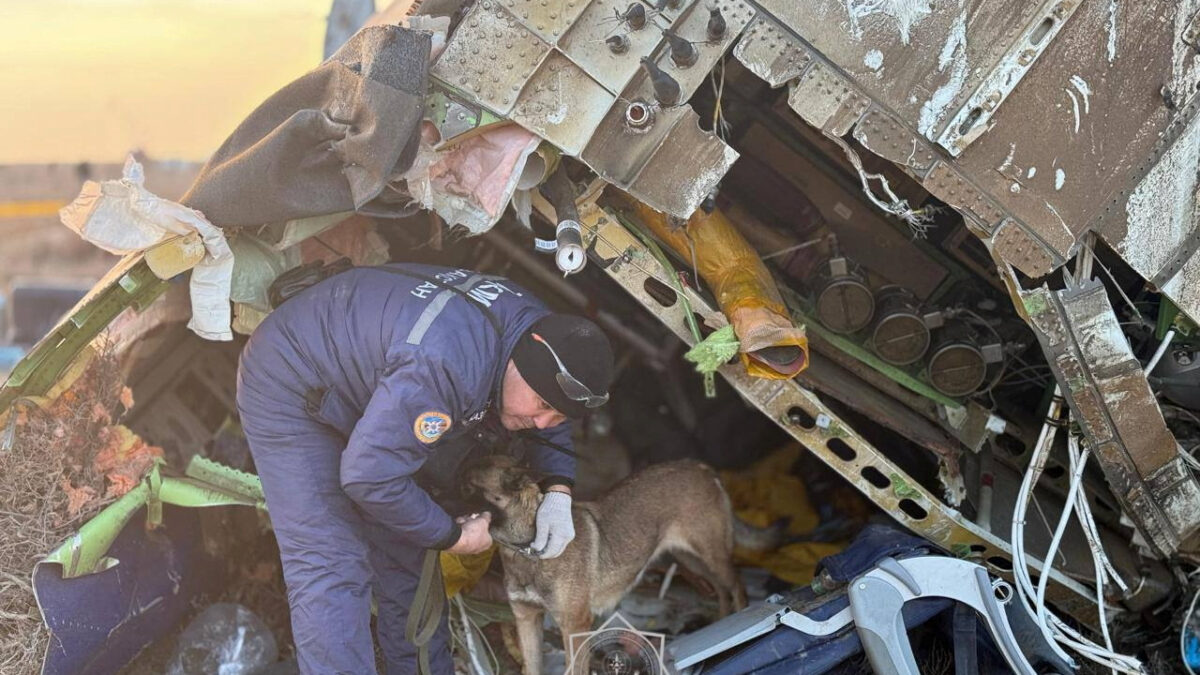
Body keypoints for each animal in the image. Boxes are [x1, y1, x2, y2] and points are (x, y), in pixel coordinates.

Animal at [460, 454, 748, 667]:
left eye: (468, 485)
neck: (528, 549)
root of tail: (701, 467)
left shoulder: (575, 626)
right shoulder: (526, 620)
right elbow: (531, 667)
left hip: (712, 555)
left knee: (737, 586)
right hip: (691, 559)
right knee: (721, 589)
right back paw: (723, 621)